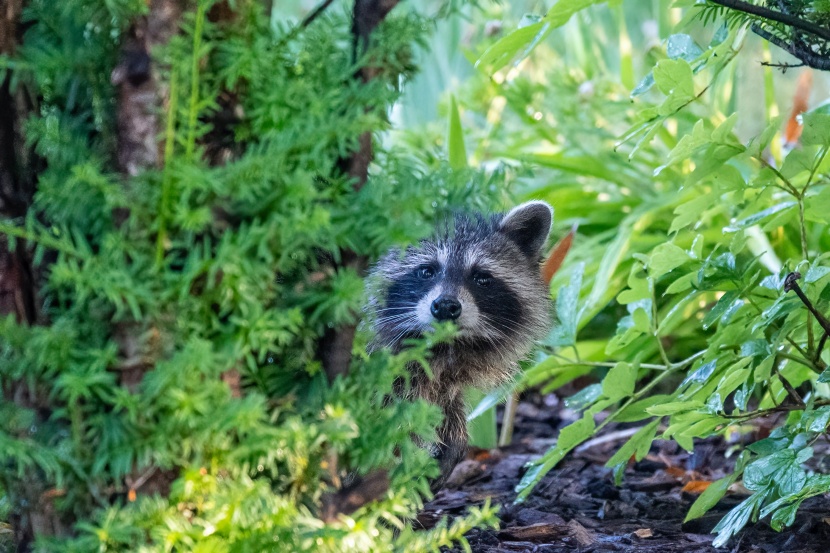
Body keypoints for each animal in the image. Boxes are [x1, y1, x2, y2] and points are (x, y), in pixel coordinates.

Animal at [368, 201, 552, 490]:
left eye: (481, 277)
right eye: (427, 271)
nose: (445, 306)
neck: (445, 348)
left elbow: (445, 405)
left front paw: (454, 439)